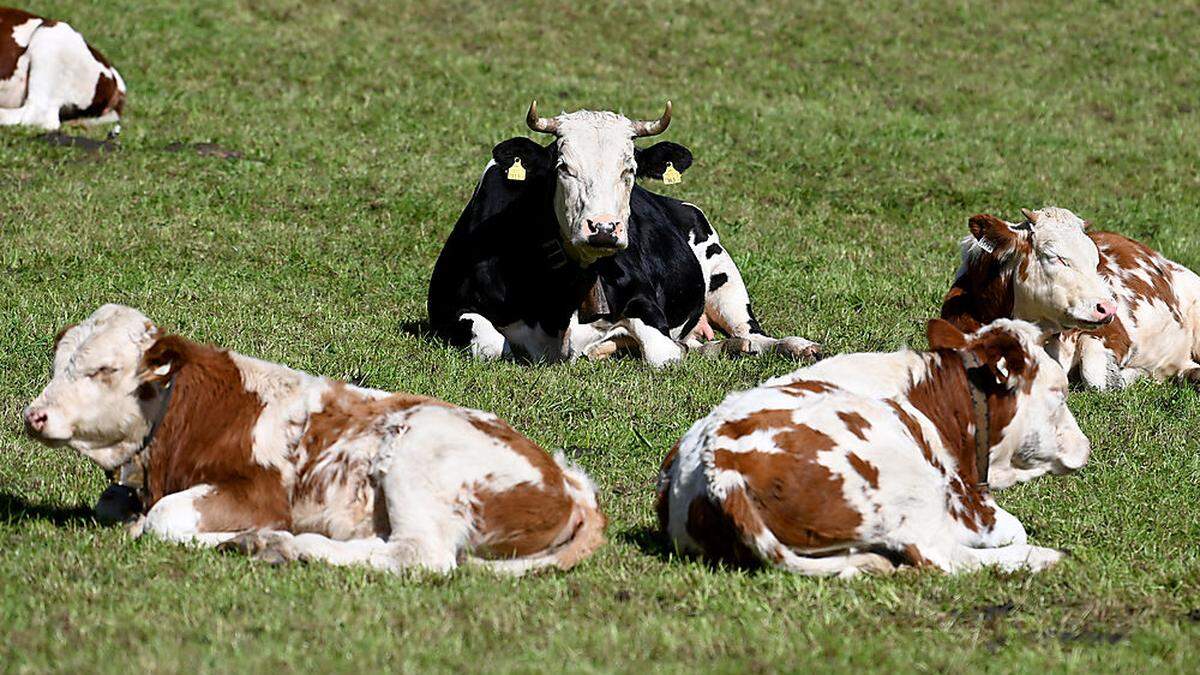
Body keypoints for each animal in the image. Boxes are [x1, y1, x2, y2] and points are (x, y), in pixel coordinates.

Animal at [25, 305, 609, 571]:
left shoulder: (259, 493)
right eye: (57, 364)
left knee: (417, 556)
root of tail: (569, 480)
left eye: (103, 369)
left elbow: (165, 520)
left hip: (419, 452)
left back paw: (286, 545)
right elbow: (115, 505)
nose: (34, 416)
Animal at [427, 98, 820, 367]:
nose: (603, 228)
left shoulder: (647, 306)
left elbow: (664, 354)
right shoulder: (446, 310)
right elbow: (493, 345)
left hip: (723, 271)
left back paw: (795, 346)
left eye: (629, 169)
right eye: (563, 167)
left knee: (751, 333)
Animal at [657, 317, 1089, 576]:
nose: (1085, 445)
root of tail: (717, 464)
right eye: (1060, 392)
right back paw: (1047, 557)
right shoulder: (965, 503)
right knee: (942, 557)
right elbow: (1011, 528)